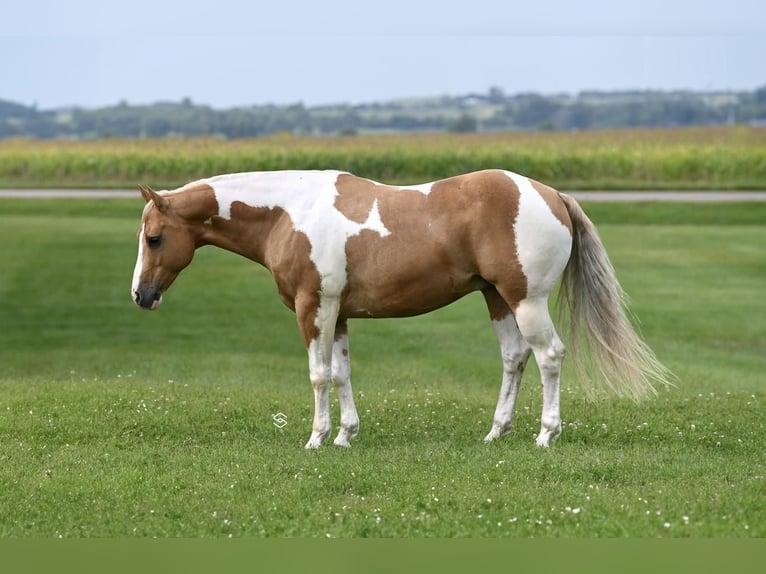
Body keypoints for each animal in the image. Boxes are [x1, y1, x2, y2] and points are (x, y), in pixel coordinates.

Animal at [132, 170, 672, 450]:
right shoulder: (339, 315)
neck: (290, 212)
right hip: (497, 299)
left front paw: (317, 438)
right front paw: (345, 436)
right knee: (514, 359)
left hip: (526, 300)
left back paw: (546, 434)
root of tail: (551, 194)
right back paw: (496, 432)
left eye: (155, 238)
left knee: (550, 357)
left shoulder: (314, 308)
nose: (141, 295)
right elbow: (342, 374)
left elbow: (318, 376)